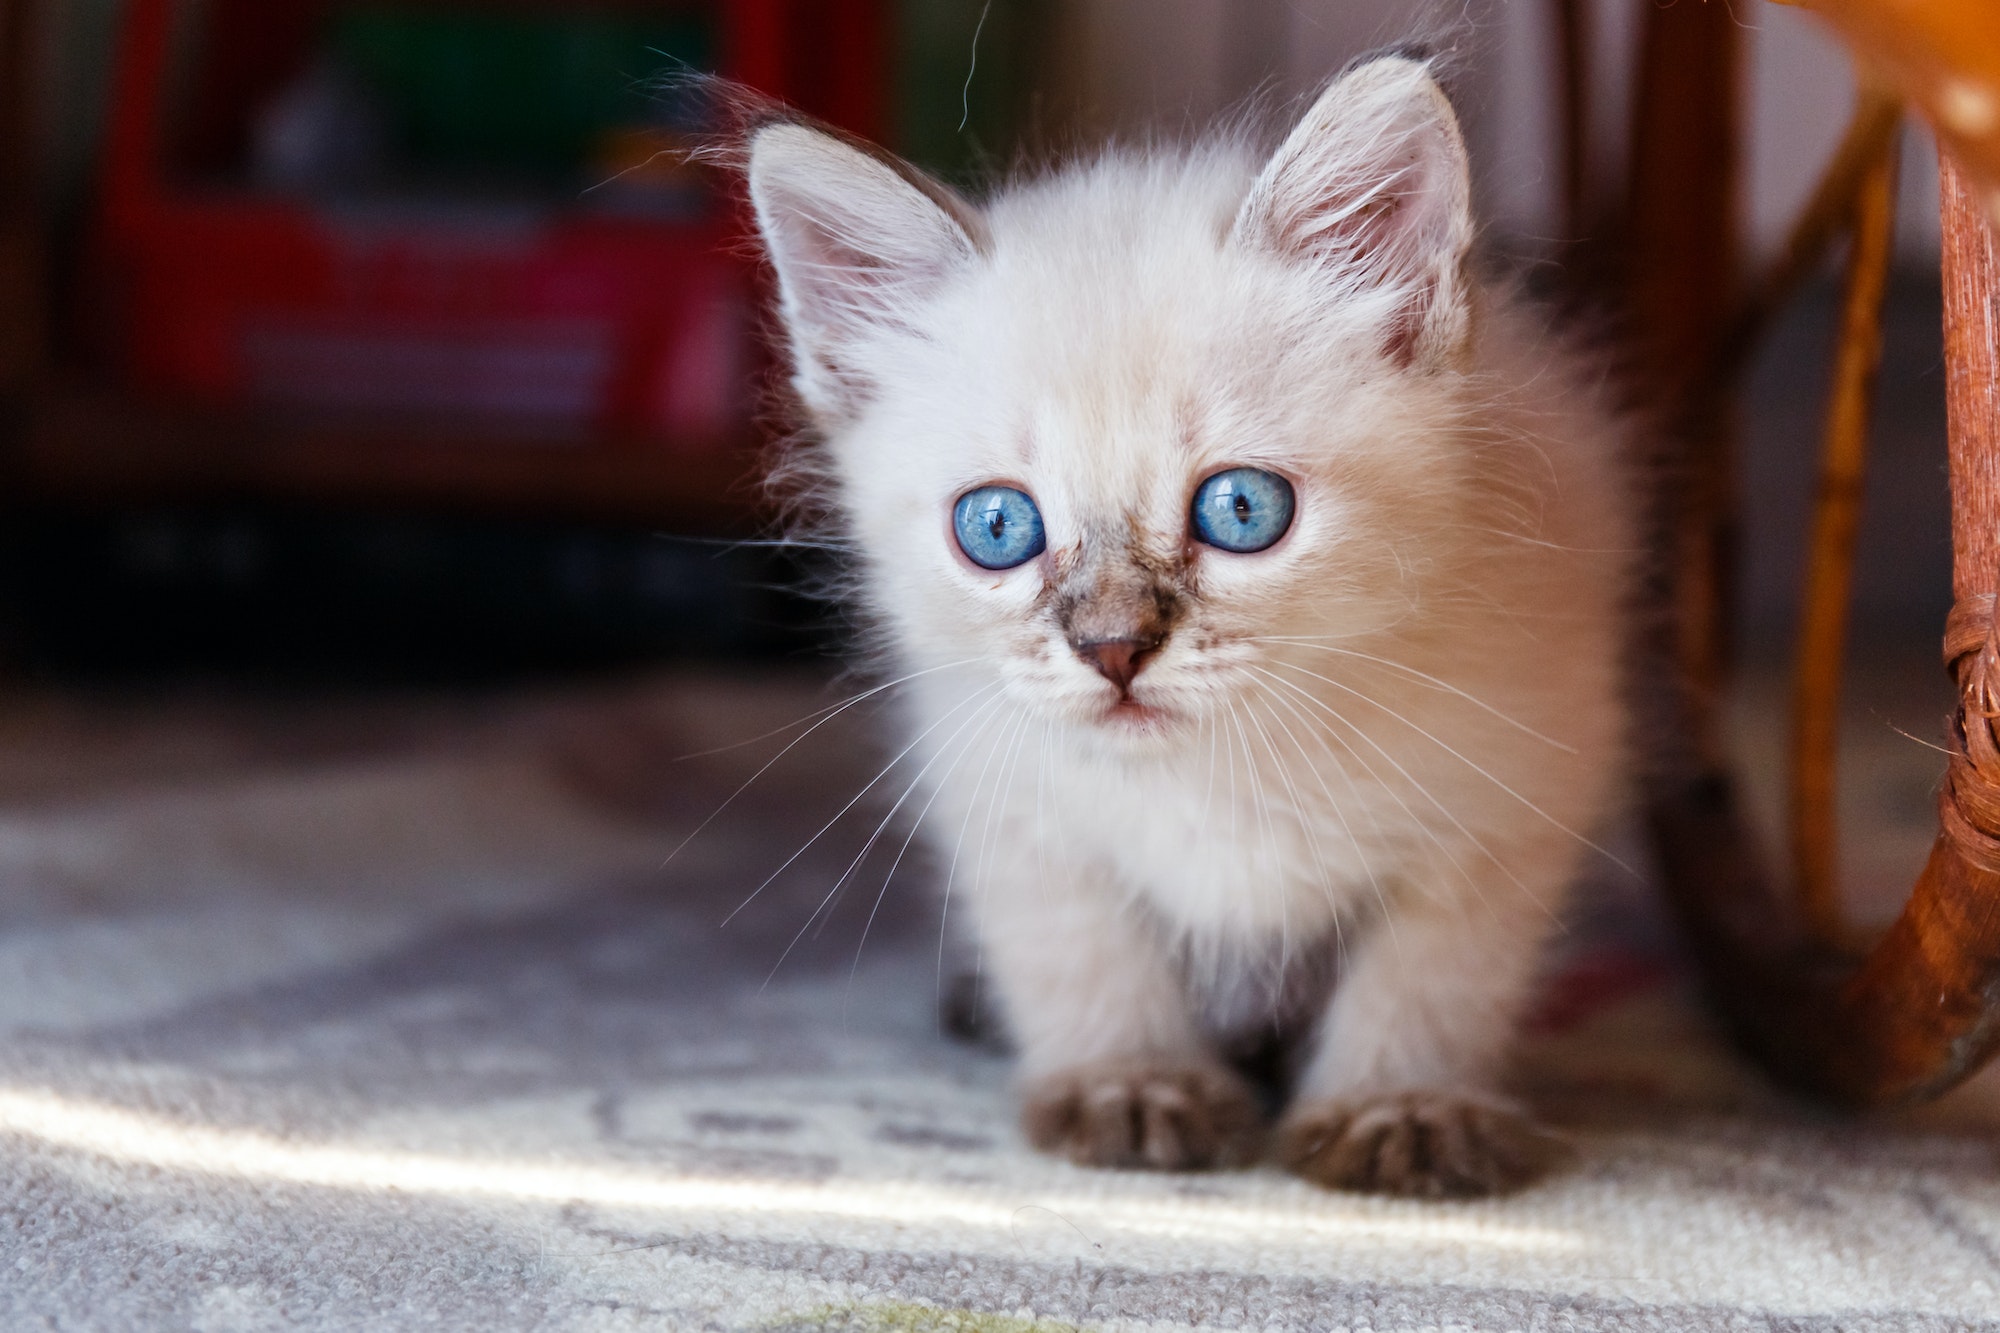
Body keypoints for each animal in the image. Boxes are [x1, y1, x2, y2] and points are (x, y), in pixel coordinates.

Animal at [744, 52, 1632, 1192]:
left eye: (1241, 509)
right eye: (997, 526)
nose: (1112, 648)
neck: (1219, 768)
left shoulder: (1512, 797)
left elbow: (1431, 975)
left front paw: (1399, 1105)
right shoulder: (1006, 797)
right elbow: (1082, 955)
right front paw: (1128, 1085)